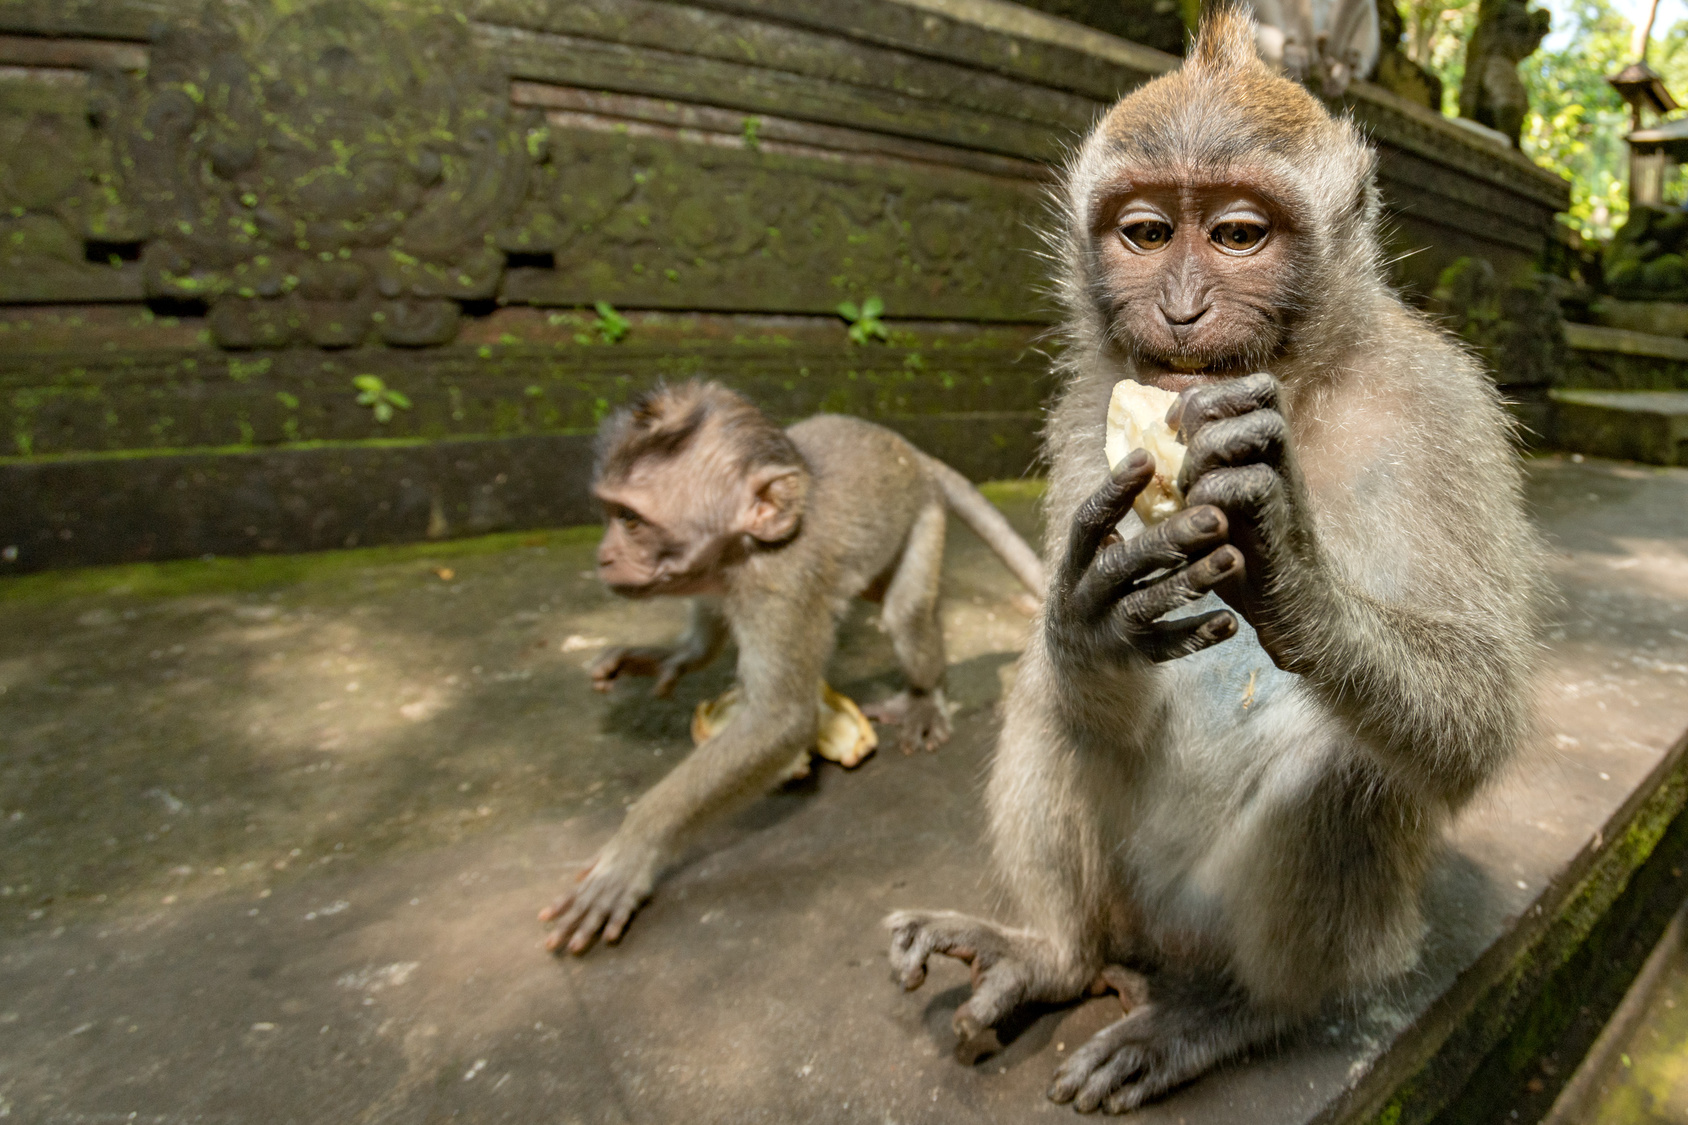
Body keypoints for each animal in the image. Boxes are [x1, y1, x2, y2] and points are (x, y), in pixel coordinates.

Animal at [540, 381, 1039, 952]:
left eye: (630, 520)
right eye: (609, 513)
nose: (603, 557)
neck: (744, 551)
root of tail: (912, 453)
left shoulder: (780, 585)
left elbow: (780, 720)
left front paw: (630, 853)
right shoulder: (720, 577)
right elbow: (709, 632)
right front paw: (668, 656)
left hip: (926, 513)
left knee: (905, 615)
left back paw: (924, 696)